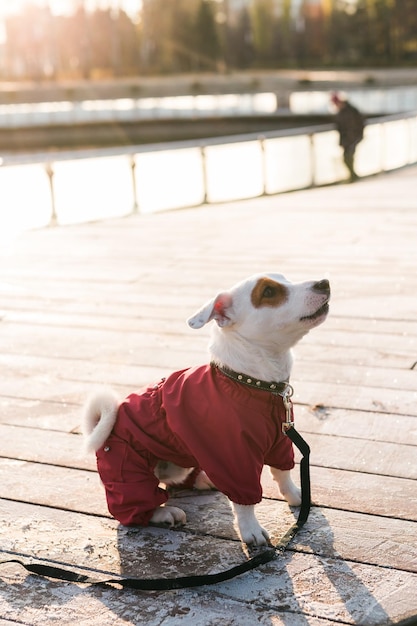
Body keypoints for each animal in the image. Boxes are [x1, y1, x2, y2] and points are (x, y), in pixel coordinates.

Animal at [83, 270, 330, 544]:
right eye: (268, 292)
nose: (324, 283)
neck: (255, 384)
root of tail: (103, 426)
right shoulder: (235, 456)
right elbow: (245, 502)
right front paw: (251, 529)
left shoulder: (281, 441)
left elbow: (282, 473)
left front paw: (297, 496)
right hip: (129, 468)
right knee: (133, 509)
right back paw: (163, 512)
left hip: (181, 460)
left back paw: (203, 479)